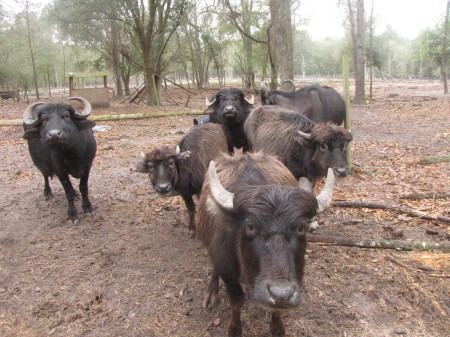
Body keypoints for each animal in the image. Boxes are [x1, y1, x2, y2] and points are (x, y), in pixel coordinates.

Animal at [22, 96, 96, 224]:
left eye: (66, 115)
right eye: (43, 120)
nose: (54, 134)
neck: (71, 154)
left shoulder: (87, 165)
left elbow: (83, 187)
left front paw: (87, 208)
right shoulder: (60, 170)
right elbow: (68, 192)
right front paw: (72, 215)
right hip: (41, 163)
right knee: (45, 175)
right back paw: (47, 192)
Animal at [195, 152, 336, 334]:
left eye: (301, 227)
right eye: (250, 225)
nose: (281, 293)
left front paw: (277, 328)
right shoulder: (226, 267)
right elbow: (237, 300)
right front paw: (234, 329)